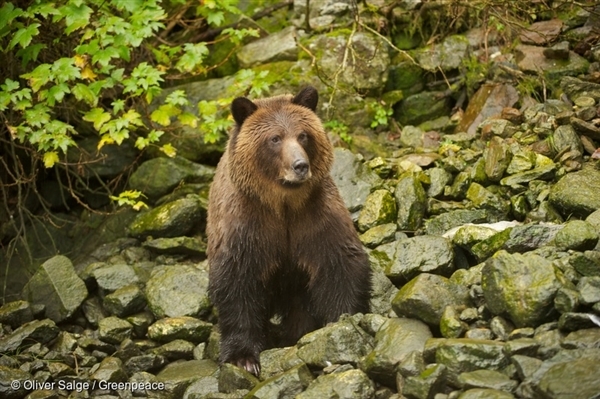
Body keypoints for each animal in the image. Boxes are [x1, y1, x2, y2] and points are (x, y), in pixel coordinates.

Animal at [209, 86, 372, 376]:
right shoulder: (247, 226)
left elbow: (341, 265)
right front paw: (243, 358)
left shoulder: (314, 217)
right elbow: (236, 281)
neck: (282, 203)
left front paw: (343, 324)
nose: (300, 165)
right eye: (274, 138)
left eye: (303, 135)